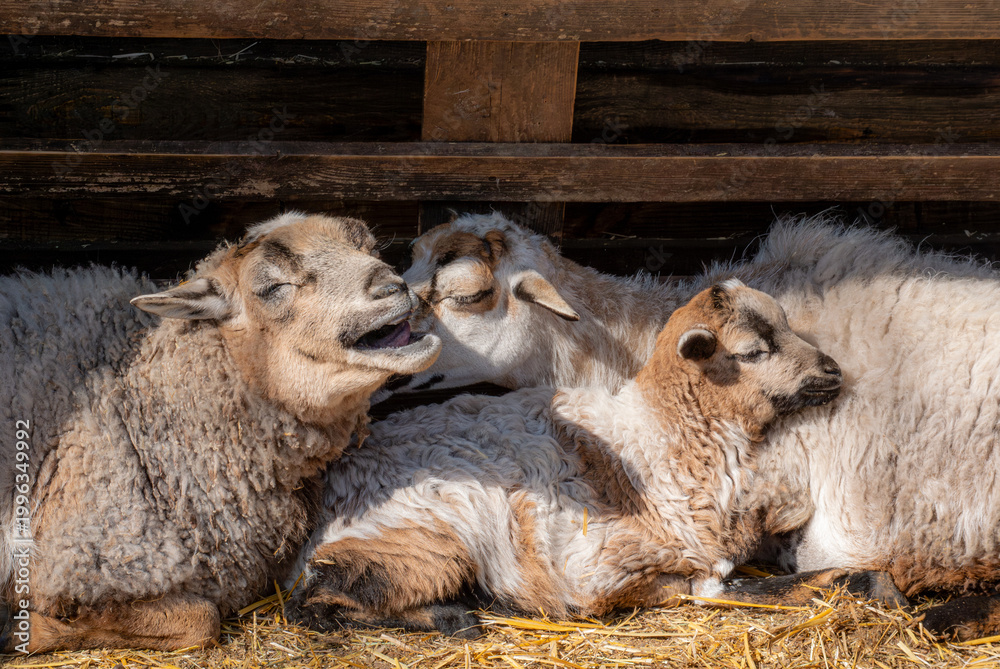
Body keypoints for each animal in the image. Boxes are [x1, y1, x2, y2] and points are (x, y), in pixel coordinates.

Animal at [0, 212, 441, 653]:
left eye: (369, 247)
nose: (393, 287)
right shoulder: (83, 558)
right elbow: (200, 620)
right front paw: (21, 628)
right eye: (273, 287)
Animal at [294, 280, 842, 635]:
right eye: (753, 352)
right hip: (424, 540)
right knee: (318, 602)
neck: (660, 438)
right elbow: (697, 585)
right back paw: (454, 617)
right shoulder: (596, 568)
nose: (833, 371)